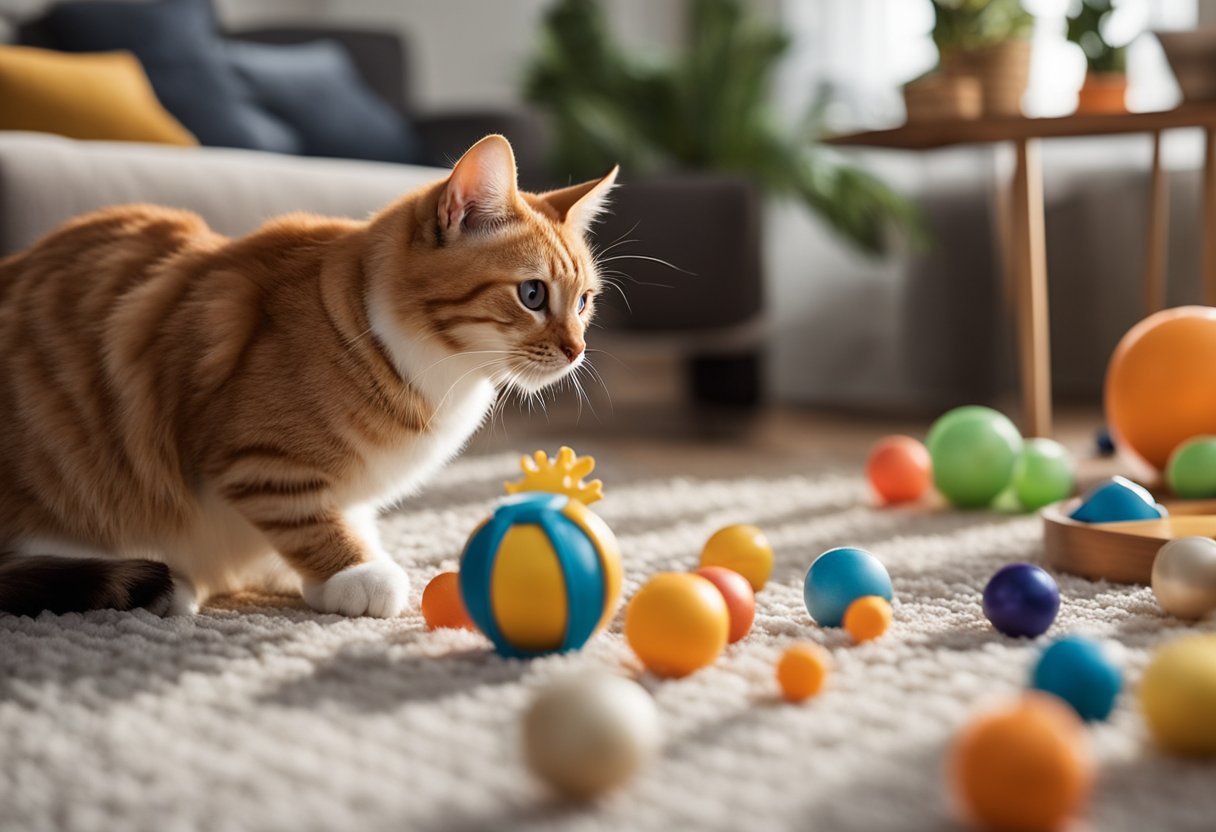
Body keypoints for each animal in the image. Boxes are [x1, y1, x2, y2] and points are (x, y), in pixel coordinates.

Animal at [0, 135, 617, 617]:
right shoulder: (257, 460)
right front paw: (355, 573)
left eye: (584, 301)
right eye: (532, 294)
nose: (577, 350)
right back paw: (167, 585)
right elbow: (307, 518)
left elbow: (344, 516)